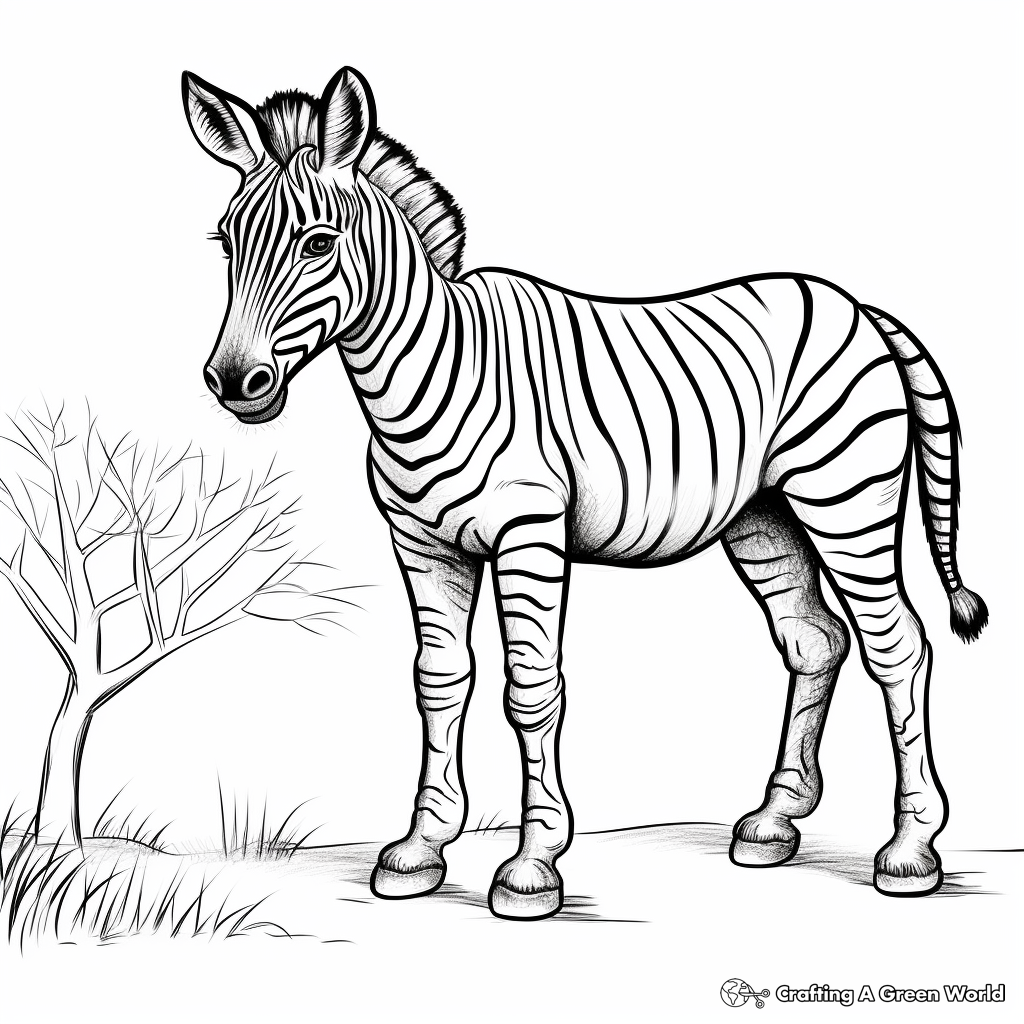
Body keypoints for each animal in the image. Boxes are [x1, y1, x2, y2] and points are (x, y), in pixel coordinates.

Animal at [182, 66, 988, 919]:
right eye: (225, 242)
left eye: (318, 242)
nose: (233, 382)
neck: (431, 371)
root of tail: (855, 305)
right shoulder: (421, 541)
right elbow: (439, 681)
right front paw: (420, 849)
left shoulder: (528, 533)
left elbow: (532, 689)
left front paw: (533, 864)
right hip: (763, 514)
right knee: (815, 637)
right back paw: (774, 821)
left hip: (846, 496)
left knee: (897, 645)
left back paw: (910, 850)